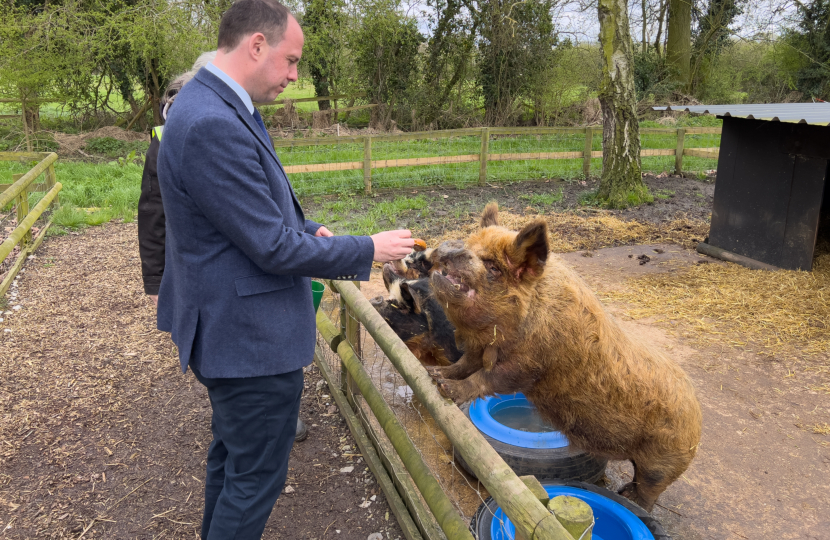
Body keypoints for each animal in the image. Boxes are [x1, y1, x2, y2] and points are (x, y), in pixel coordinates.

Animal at [428, 201, 704, 510]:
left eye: (493, 267)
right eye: (470, 243)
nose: (449, 245)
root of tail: (696, 413)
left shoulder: (528, 365)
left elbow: (487, 378)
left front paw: (445, 388)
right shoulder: (481, 349)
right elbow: (465, 364)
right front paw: (434, 373)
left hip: (664, 460)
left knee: (649, 490)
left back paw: (631, 501)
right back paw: (624, 494)